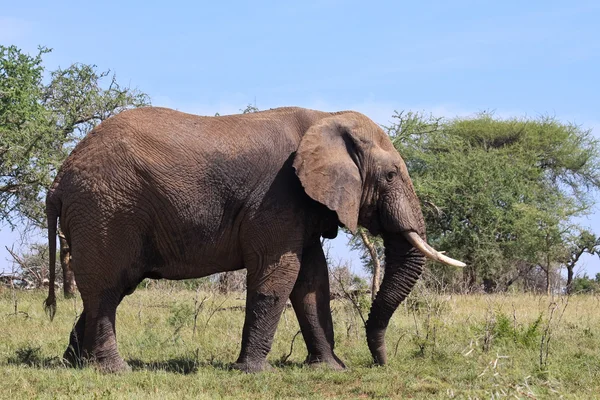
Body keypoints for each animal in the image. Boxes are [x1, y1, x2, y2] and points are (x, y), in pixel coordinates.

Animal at [44, 105, 464, 372]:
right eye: (391, 176)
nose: (381, 362)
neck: (327, 118)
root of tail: (59, 179)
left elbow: (313, 282)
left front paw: (330, 369)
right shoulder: (277, 196)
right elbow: (278, 275)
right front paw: (253, 372)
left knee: (111, 287)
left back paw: (73, 363)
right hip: (107, 210)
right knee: (107, 288)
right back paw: (115, 371)